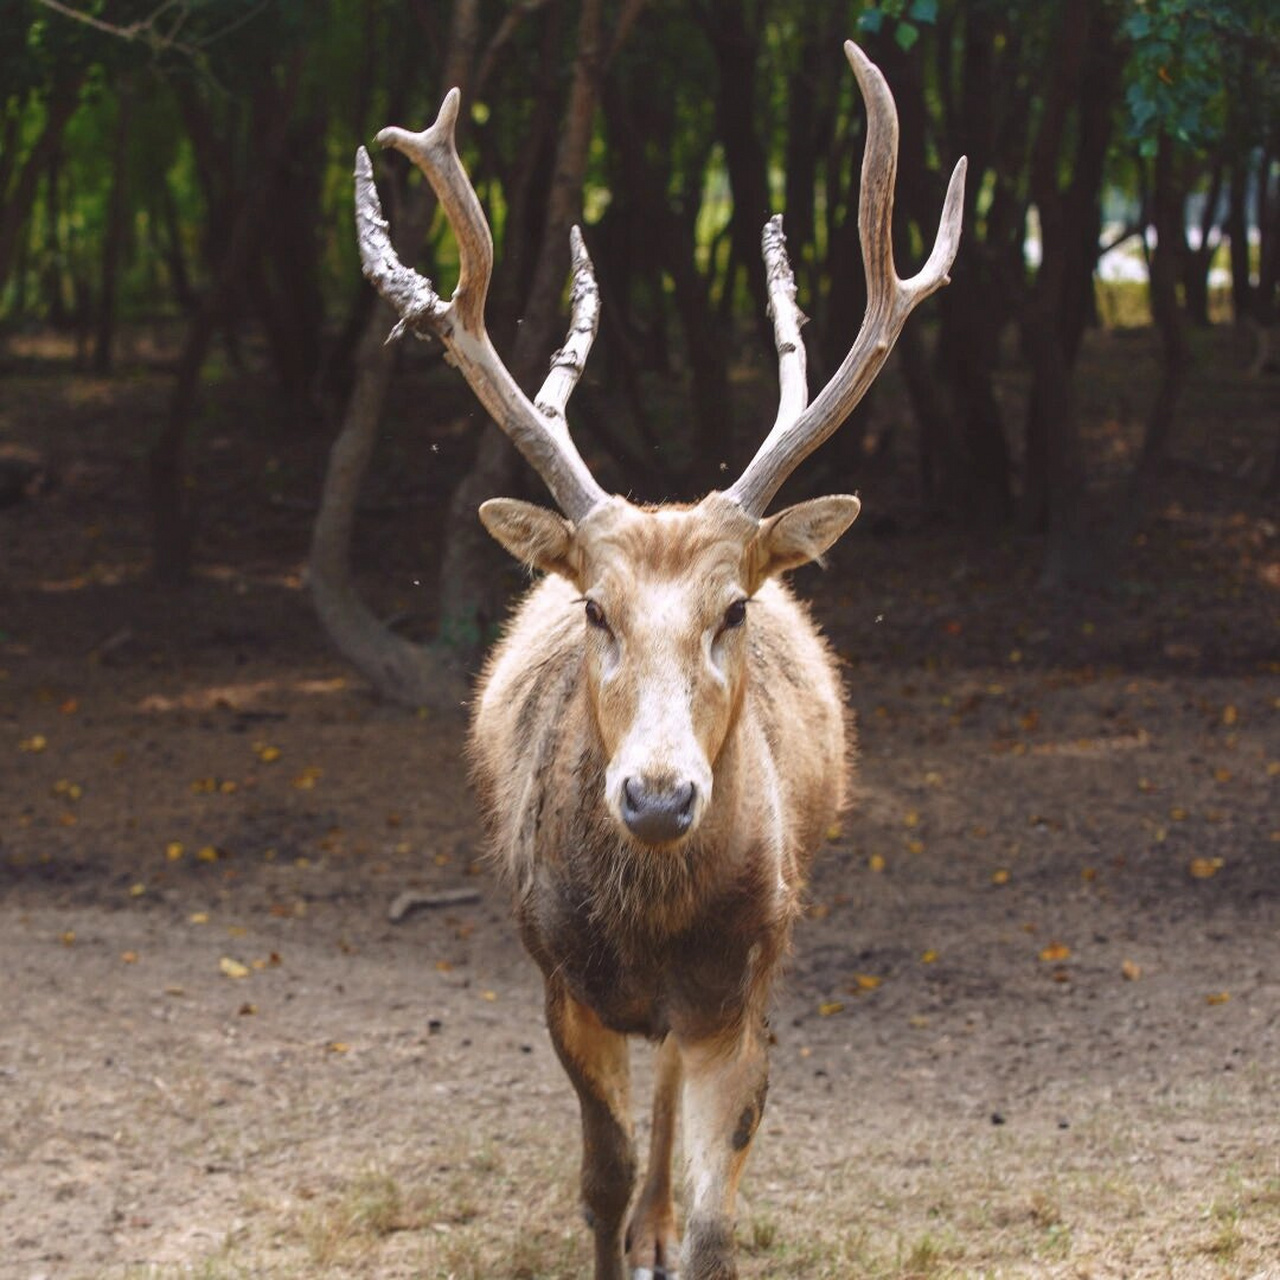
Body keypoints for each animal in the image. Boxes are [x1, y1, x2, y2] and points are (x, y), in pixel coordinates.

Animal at [350, 40, 962, 1280]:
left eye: (733, 607)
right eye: (593, 606)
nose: (659, 794)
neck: (647, 925)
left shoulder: (744, 984)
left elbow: (716, 1208)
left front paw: (680, 1229)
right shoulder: (556, 979)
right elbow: (599, 1173)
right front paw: (618, 1226)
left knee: (675, 1094)